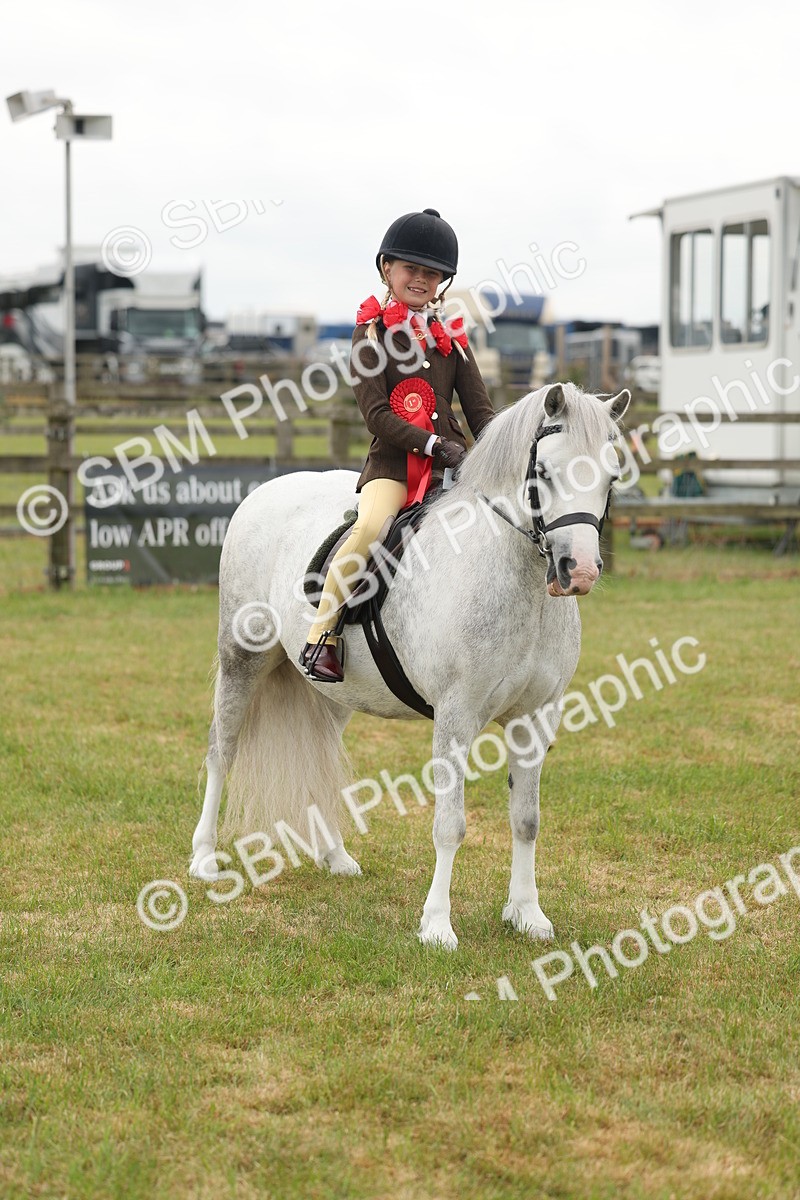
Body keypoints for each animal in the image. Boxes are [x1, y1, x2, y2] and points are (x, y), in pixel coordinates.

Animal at [189, 381, 631, 949]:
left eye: (611, 475)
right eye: (547, 472)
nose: (579, 572)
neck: (517, 581)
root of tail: (263, 493)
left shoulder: (537, 718)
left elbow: (526, 820)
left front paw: (527, 914)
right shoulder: (455, 716)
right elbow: (450, 825)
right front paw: (437, 925)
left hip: (335, 691)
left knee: (321, 757)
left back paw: (335, 856)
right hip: (241, 658)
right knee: (221, 751)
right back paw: (204, 858)